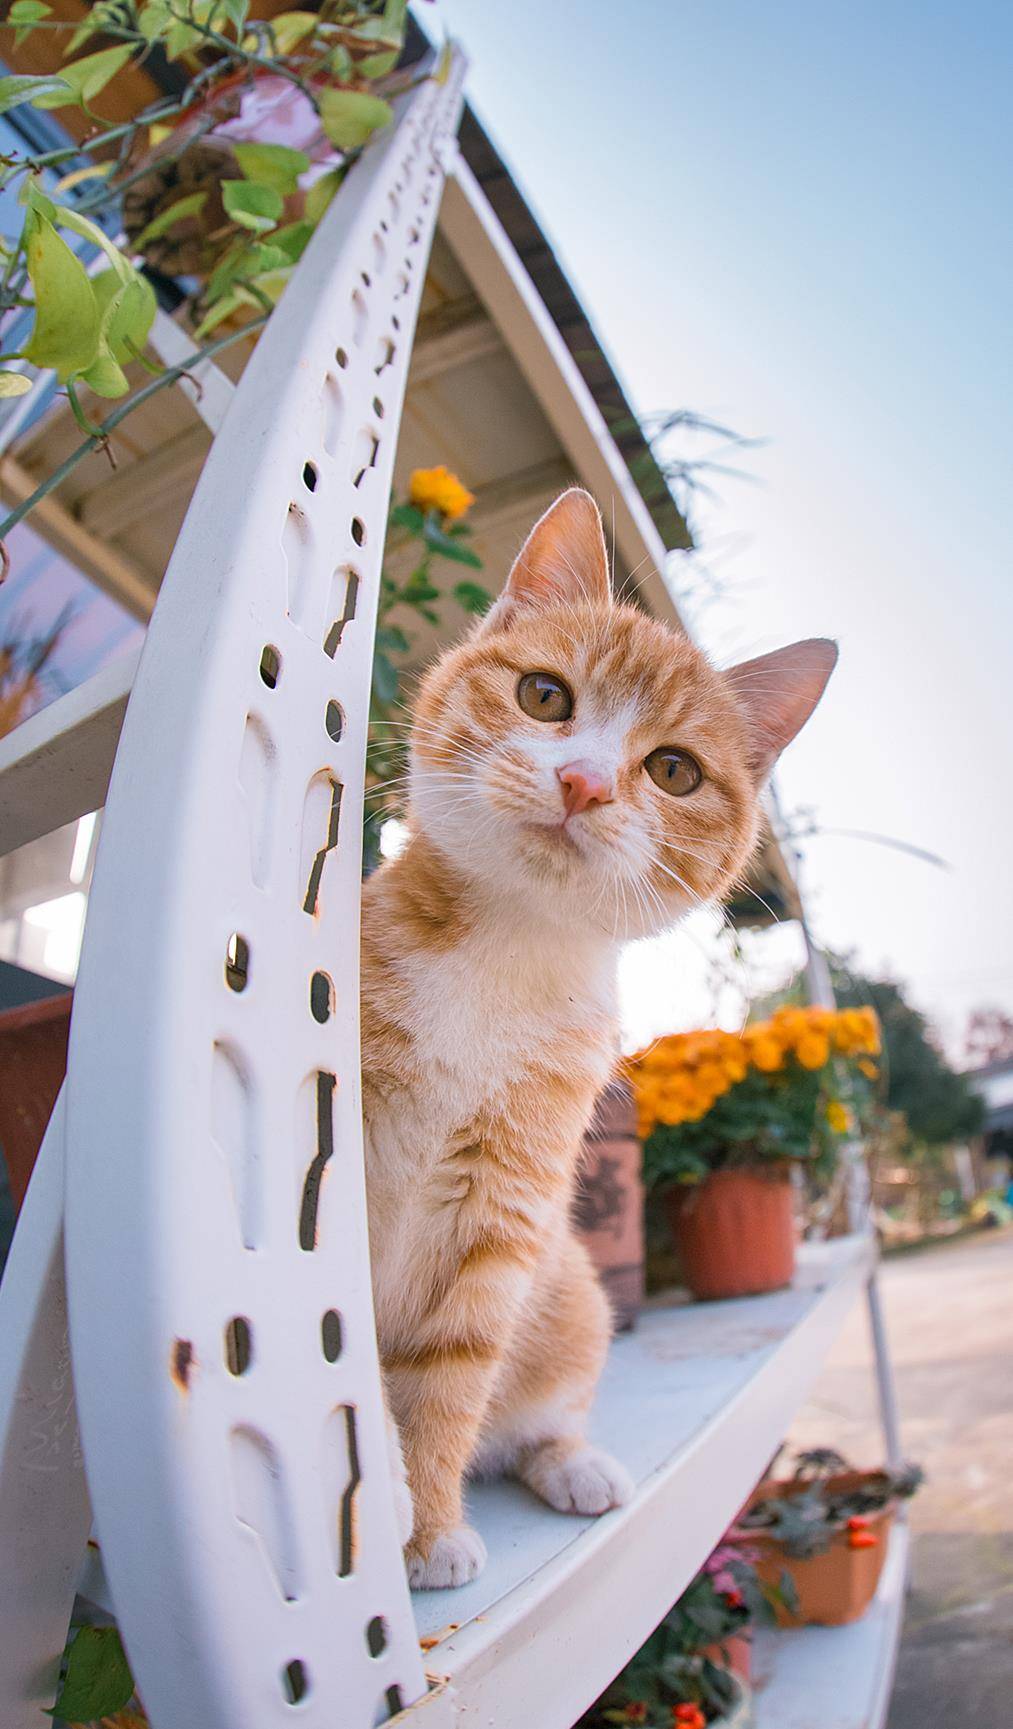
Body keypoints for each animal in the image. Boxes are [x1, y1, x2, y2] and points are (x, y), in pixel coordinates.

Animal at [359, 491, 833, 1590]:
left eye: (672, 770)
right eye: (543, 696)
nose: (581, 782)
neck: (500, 956)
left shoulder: (504, 1211)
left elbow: (450, 1382)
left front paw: (426, 1525)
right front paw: (381, 1502)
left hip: (569, 1287)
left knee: (524, 1423)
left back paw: (572, 1464)